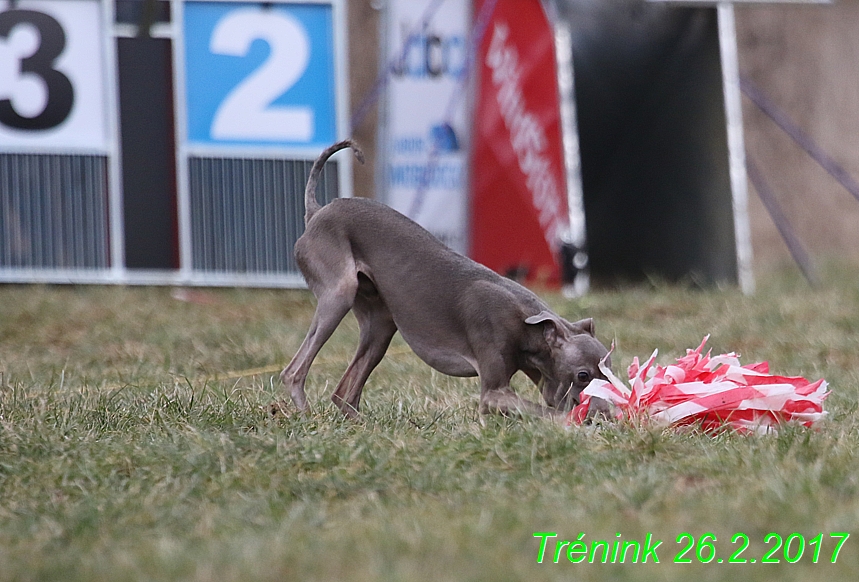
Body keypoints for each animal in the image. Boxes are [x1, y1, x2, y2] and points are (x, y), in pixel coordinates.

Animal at [278, 140, 608, 420]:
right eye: (583, 375)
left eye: (608, 368)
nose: (606, 412)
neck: (528, 324)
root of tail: (317, 211)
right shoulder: (494, 392)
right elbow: (547, 412)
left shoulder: (545, 381)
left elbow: (551, 402)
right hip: (340, 293)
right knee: (293, 372)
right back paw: (305, 413)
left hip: (381, 322)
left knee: (343, 393)